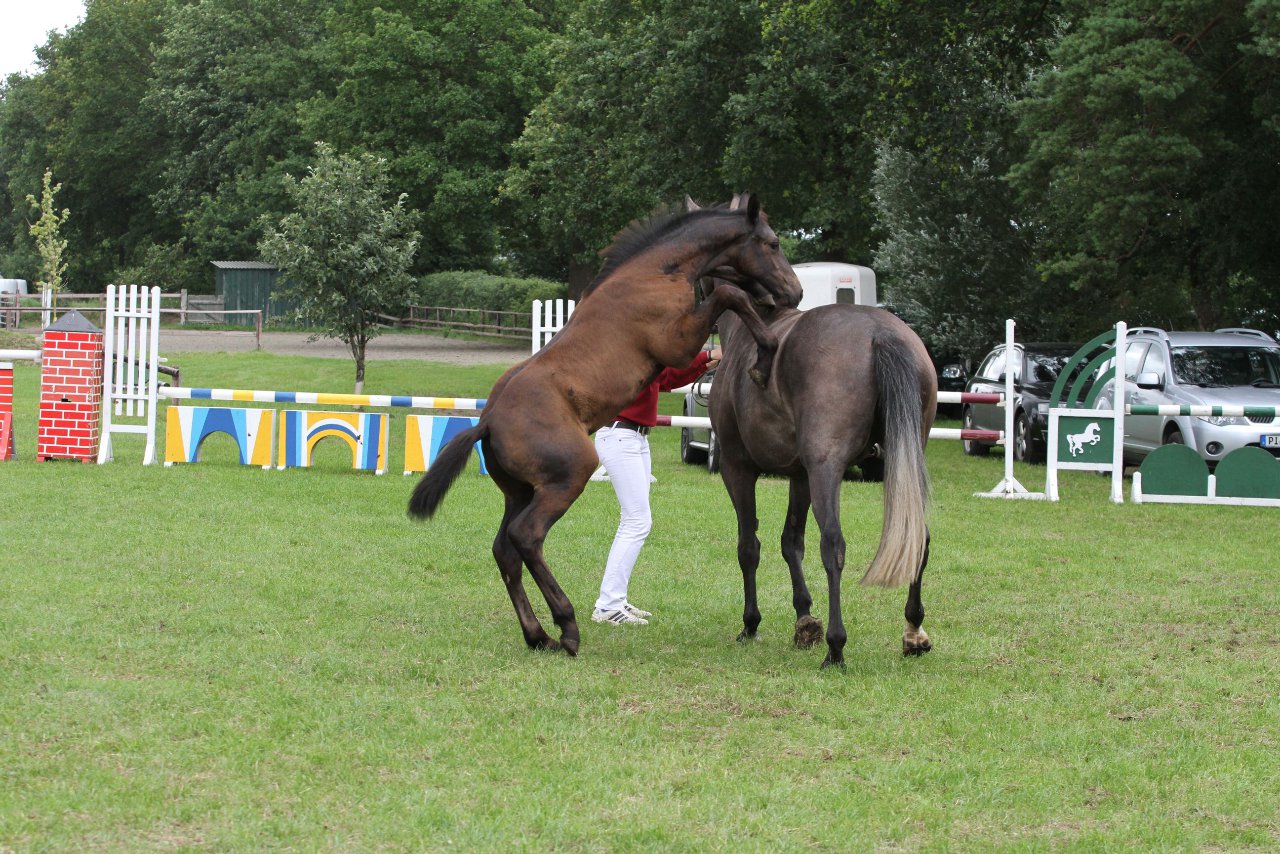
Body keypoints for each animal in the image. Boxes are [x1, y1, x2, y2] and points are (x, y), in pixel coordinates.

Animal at [409, 197, 798, 660]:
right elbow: (729, 293)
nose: (794, 292)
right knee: (527, 537)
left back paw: (538, 636)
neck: (657, 272)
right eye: (773, 243)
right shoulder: (676, 342)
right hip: (570, 475)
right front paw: (765, 353)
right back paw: (567, 626)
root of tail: (486, 422)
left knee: (505, 550)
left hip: (519, 491)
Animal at [706, 277, 936, 670]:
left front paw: (751, 624)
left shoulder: (736, 469)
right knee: (918, 537)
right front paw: (804, 618)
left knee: (833, 545)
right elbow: (791, 542)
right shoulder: (800, 476)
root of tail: (880, 333)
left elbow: (749, 547)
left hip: (825, 471)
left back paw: (836, 647)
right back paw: (913, 632)